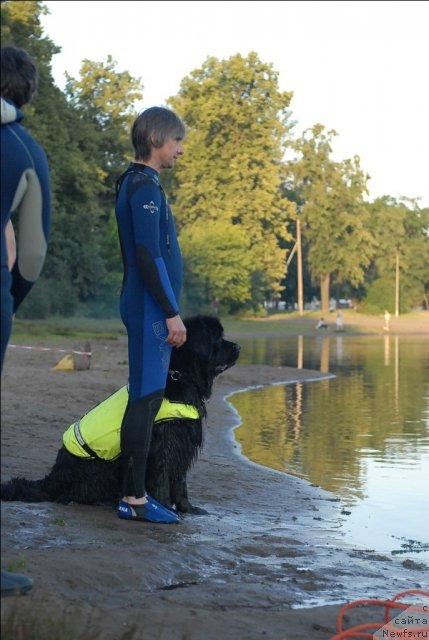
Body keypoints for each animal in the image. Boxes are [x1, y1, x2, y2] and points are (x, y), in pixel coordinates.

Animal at [1, 316, 239, 516]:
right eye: (218, 339)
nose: (238, 347)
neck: (182, 377)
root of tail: (51, 480)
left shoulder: (182, 443)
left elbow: (181, 483)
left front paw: (188, 508)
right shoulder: (164, 445)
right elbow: (162, 479)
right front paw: (165, 508)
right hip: (103, 467)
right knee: (73, 494)